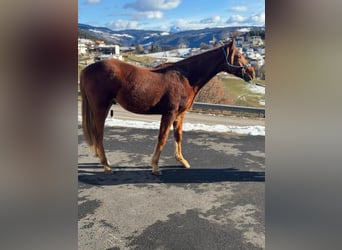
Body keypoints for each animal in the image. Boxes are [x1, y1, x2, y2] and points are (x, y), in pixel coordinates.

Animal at [79, 38, 252, 175]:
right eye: (238, 56)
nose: (252, 72)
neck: (185, 77)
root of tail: (87, 69)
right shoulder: (169, 113)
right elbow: (162, 137)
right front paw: (155, 167)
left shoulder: (180, 114)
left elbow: (178, 136)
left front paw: (182, 160)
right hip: (101, 108)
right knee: (98, 134)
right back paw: (106, 166)